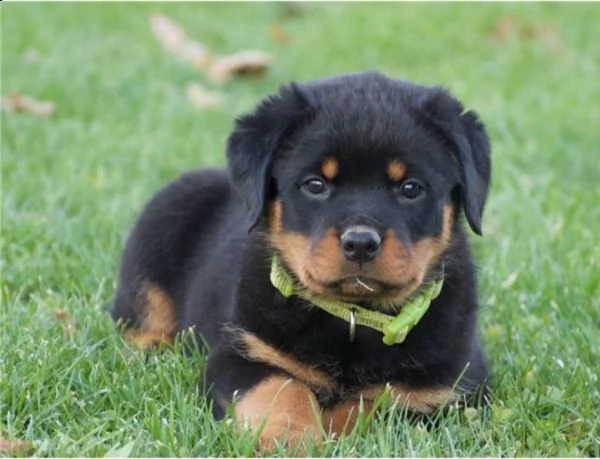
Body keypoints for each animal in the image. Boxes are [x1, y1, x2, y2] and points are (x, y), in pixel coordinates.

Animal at [112, 73, 492, 452]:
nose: (360, 243)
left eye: (411, 188)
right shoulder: (244, 351)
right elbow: (281, 389)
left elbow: (369, 405)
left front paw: (331, 429)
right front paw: (289, 439)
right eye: (315, 185)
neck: (352, 317)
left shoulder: (444, 391)